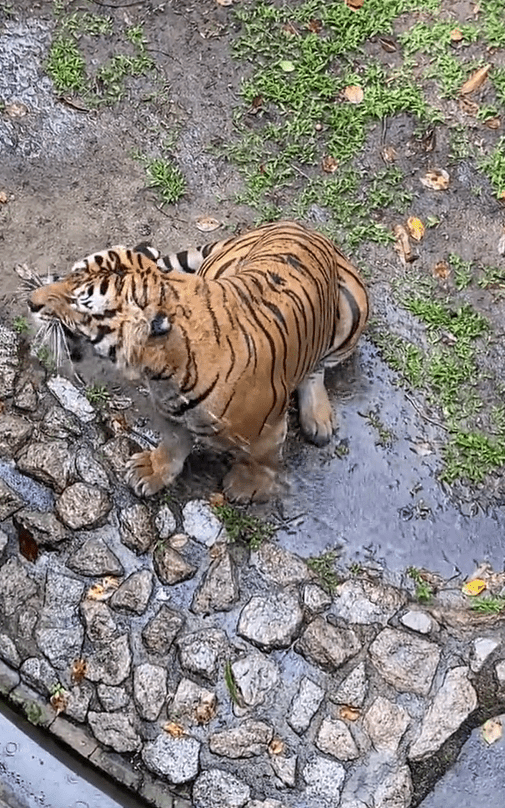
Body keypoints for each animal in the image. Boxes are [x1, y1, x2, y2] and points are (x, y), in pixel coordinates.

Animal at [28, 221, 369, 502]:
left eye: (80, 304)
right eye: (70, 275)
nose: (31, 302)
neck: (162, 373)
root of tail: (297, 224)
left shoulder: (269, 429)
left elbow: (261, 459)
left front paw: (247, 487)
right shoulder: (169, 412)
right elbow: (173, 445)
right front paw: (152, 471)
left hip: (354, 311)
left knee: (317, 368)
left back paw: (318, 419)